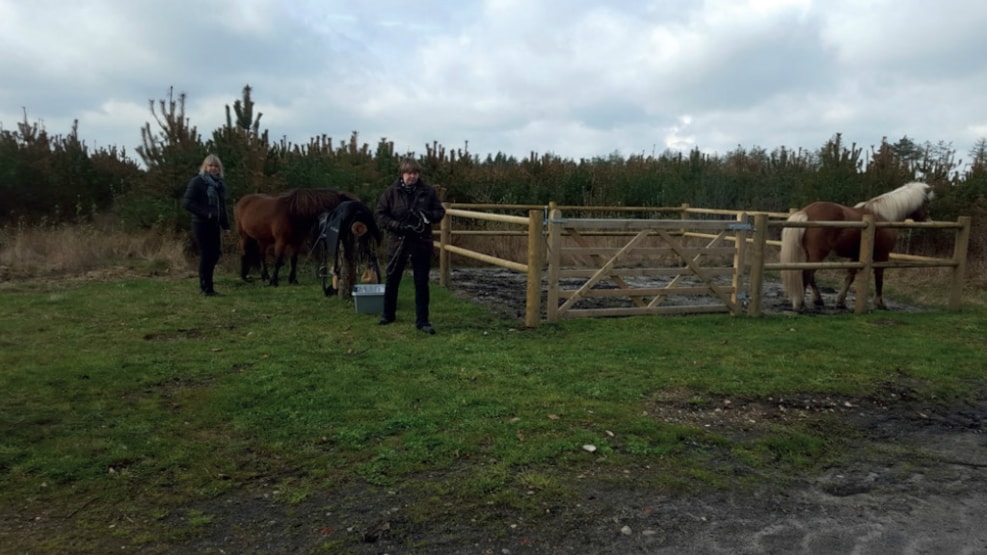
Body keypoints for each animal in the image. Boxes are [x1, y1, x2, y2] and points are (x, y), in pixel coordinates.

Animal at [780, 182, 932, 312]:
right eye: (927, 202)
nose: (928, 221)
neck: (884, 216)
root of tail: (806, 212)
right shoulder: (882, 255)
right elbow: (879, 278)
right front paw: (880, 304)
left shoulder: (856, 256)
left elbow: (850, 277)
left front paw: (840, 302)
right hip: (818, 254)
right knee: (806, 274)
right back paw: (801, 305)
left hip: (810, 254)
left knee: (810, 275)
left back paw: (817, 300)